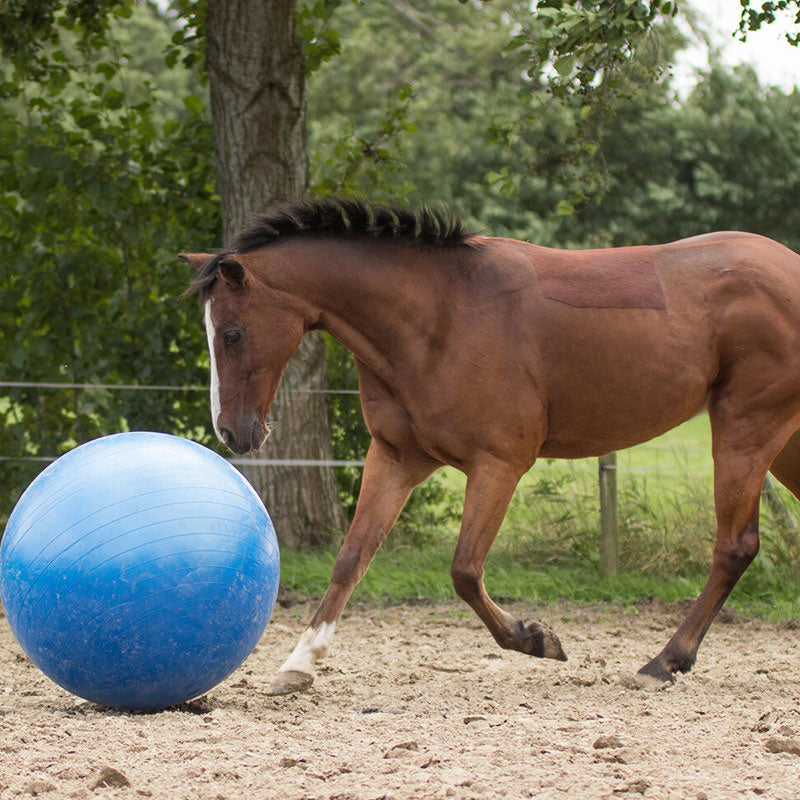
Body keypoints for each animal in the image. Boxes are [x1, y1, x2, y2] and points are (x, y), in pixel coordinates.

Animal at [181, 198, 800, 692]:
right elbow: (351, 558)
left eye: (233, 333)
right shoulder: (396, 459)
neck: (438, 319)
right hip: (782, 443)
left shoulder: (499, 465)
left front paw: (537, 639)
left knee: (734, 547)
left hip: (745, 429)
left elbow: (464, 570)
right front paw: (299, 664)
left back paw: (663, 662)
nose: (232, 433)